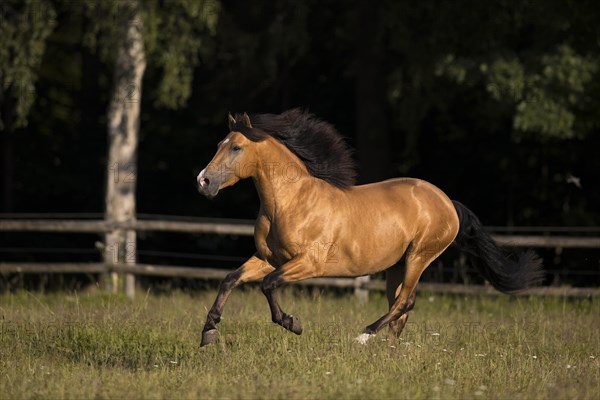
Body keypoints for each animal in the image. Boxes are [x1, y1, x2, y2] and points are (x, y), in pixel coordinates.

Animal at [197, 108, 544, 346]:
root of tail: (447, 201)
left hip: (420, 257)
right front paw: (209, 331)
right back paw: (389, 352)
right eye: (219, 143)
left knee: (405, 302)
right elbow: (230, 279)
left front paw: (292, 323)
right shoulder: (269, 259)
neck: (291, 202)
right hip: (397, 265)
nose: (203, 181)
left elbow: (268, 285)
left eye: (236, 147)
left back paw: (365, 337)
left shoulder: (309, 264)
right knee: (401, 307)